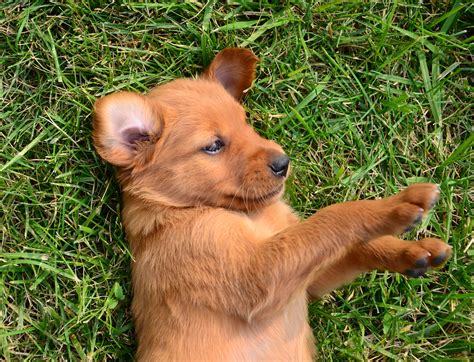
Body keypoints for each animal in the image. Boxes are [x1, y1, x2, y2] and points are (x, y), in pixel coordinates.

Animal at [92, 48, 452, 362]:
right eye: (213, 146)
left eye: (246, 123)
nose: (283, 163)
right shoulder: (255, 277)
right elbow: (334, 216)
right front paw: (398, 206)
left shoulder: (308, 280)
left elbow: (356, 248)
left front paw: (414, 251)